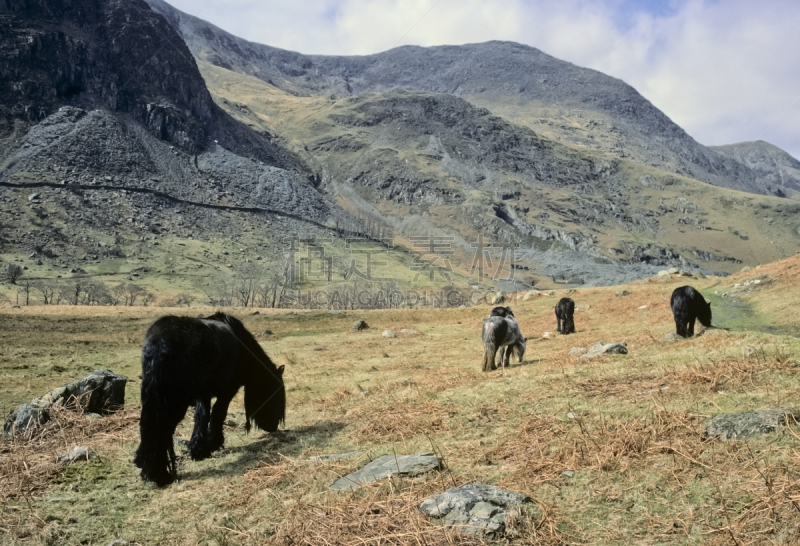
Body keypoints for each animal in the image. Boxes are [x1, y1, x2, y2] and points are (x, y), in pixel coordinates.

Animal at [136, 310, 286, 484]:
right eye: (276, 396)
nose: (273, 427)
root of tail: (162, 341)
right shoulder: (227, 391)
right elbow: (217, 414)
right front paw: (213, 443)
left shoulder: (203, 394)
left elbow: (202, 417)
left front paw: (198, 449)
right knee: (162, 428)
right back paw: (159, 474)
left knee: (148, 425)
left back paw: (142, 461)